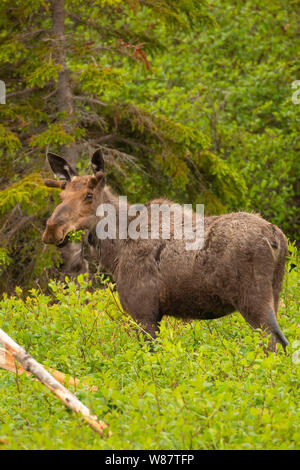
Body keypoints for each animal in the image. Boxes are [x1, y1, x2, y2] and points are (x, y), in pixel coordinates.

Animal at [42, 149, 288, 350]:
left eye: (89, 195)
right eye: (61, 196)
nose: (52, 229)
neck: (116, 251)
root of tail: (277, 239)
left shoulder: (144, 313)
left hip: (252, 300)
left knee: (275, 343)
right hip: (275, 293)